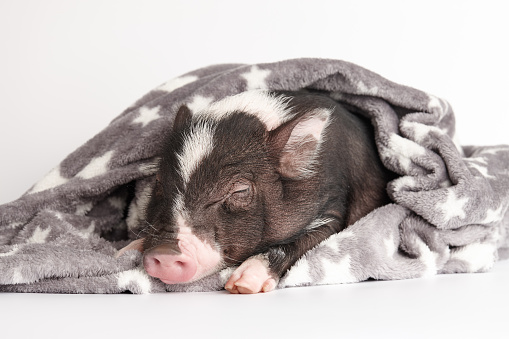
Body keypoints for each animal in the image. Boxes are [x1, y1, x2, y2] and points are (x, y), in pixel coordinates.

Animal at [117, 90, 390, 294]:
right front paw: (124, 251)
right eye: (159, 181)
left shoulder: (333, 208)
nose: (164, 252)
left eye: (239, 189)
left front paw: (241, 285)